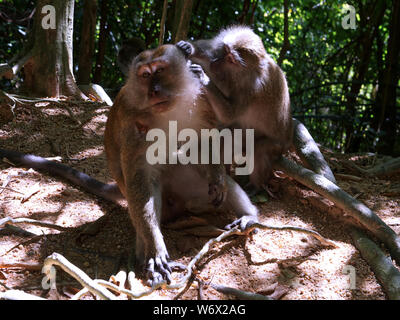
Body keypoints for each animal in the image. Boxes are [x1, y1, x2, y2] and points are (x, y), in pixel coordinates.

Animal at [104, 43, 260, 286]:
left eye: (159, 70)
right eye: (145, 75)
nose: (153, 91)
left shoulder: (201, 99)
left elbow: (205, 138)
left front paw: (217, 177)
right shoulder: (132, 121)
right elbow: (140, 177)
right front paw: (155, 251)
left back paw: (248, 215)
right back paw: (145, 255)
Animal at [178, 25, 294, 192]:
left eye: (231, 59)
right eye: (225, 51)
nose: (216, 61)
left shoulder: (252, 89)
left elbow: (229, 114)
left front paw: (203, 77)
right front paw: (189, 47)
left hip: (277, 146)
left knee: (259, 149)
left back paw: (256, 186)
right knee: (229, 135)